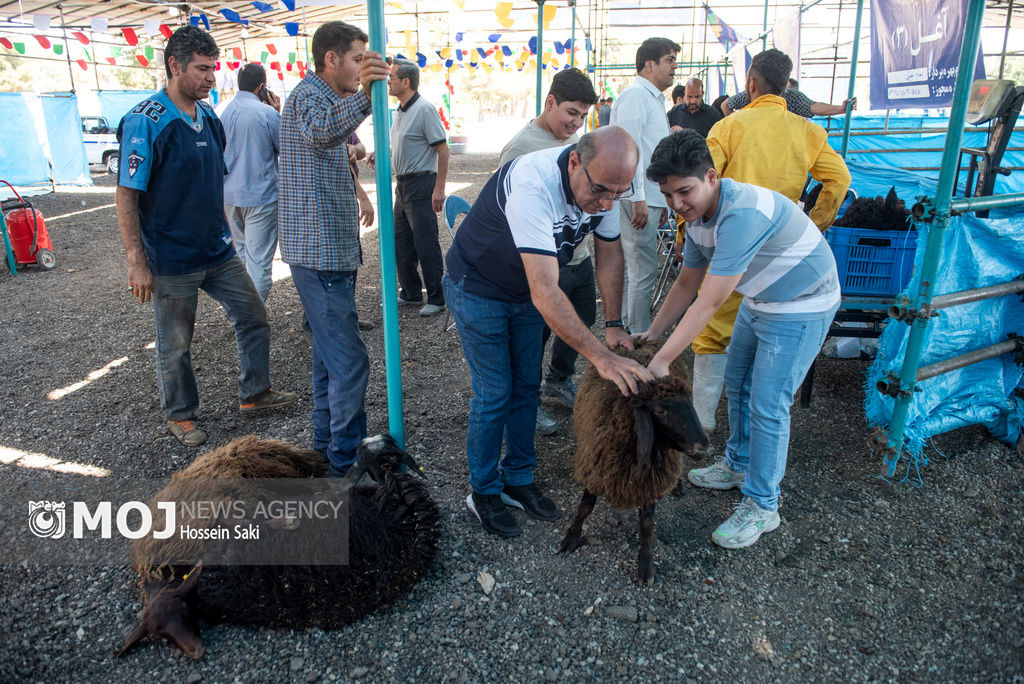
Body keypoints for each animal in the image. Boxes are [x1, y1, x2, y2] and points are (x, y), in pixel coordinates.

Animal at [561, 339, 712, 585]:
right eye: (659, 409)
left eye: (691, 403)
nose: (704, 447)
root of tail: (642, 340)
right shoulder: (596, 470)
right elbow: (585, 507)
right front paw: (571, 538)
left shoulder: (648, 482)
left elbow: (647, 524)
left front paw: (646, 565)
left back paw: (677, 486)